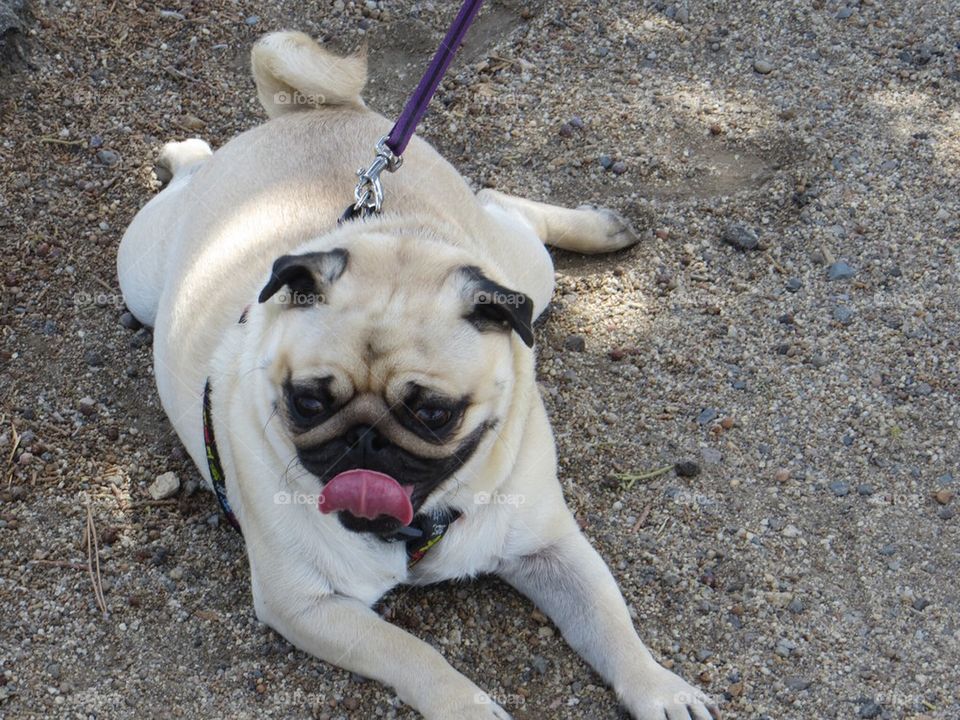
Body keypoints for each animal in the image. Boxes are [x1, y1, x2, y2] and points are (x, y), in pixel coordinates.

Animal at [116, 31, 716, 720]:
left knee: (501, 205)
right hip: (140, 278)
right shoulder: (307, 603)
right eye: (307, 402)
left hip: (521, 275)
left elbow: (611, 621)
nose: (365, 439)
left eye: (433, 413)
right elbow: (414, 653)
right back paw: (179, 153)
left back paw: (601, 228)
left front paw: (659, 687)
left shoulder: (553, 547)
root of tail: (320, 113)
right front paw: (469, 707)